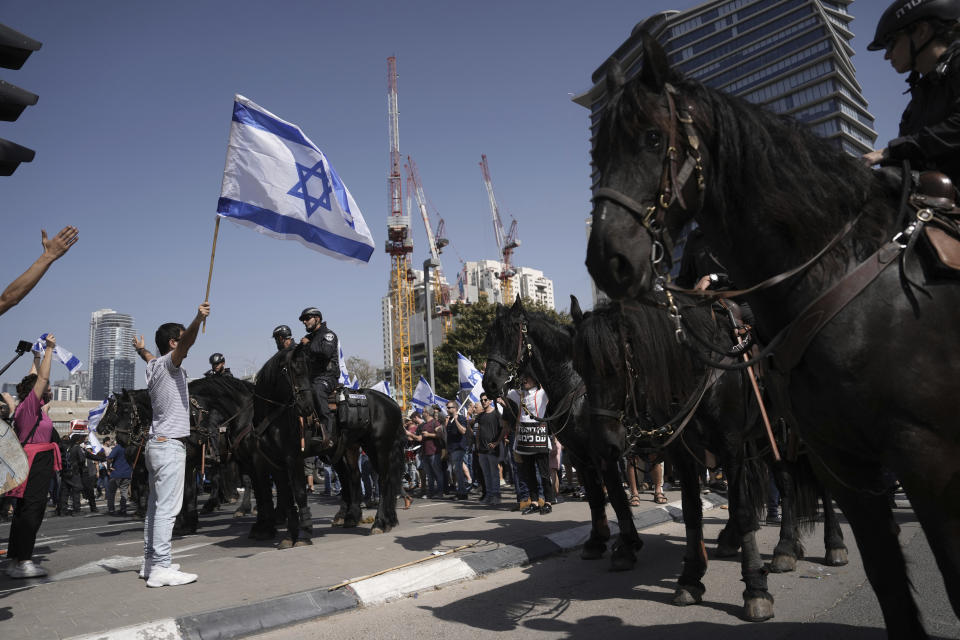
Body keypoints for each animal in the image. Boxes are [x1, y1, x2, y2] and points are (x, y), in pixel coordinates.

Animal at [253, 342, 404, 548]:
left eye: (304, 369)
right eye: (294, 371)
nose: (307, 407)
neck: (273, 416)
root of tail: (392, 403)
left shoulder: (294, 459)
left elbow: (300, 494)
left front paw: (303, 534)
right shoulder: (276, 464)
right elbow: (286, 497)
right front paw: (289, 536)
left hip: (379, 447)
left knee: (382, 480)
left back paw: (379, 523)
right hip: (354, 448)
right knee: (359, 477)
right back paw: (379, 520)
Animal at [480, 298, 644, 572]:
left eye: (511, 336)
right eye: (490, 337)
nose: (489, 384)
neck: (577, 388)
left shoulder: (604, 454)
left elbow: (616, 497)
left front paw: (628, 546)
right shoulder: (579, 455)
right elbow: (595, 497)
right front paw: (596, 541)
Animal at [568, 296, 840, 620]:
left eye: (613, 365)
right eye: (578, 368)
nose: (603, 447)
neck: (699, 373)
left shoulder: (732, 446)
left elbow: (743, 509)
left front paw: (755, 588)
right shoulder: (684, 453)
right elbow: (691, 511)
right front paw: (691, 579)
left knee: (823, 484)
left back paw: (834, 545)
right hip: (767, 434)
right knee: (785, 482)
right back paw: (785, 548)